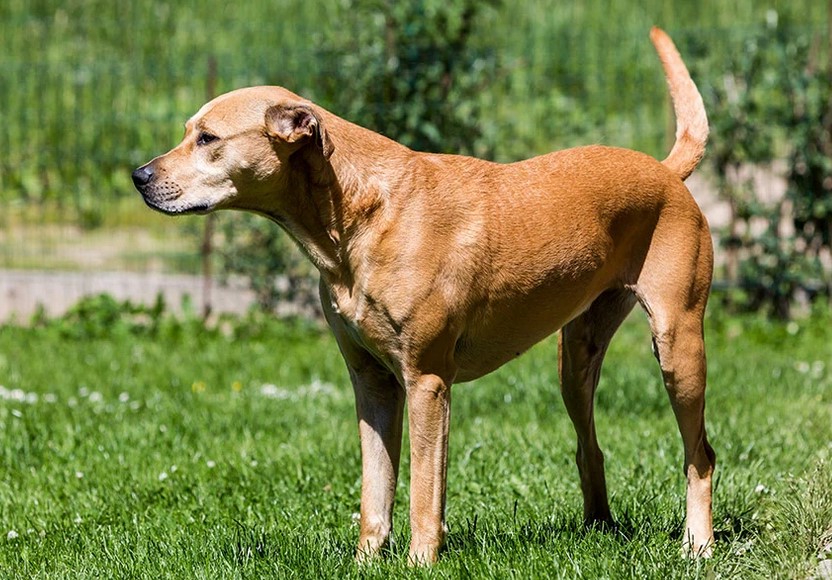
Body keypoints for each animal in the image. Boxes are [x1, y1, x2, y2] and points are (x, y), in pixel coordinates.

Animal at [132, 27, 716, 560]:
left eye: (208, 139)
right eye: (188, 131)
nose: (139, 175)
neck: (360, 213)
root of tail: (665, 172)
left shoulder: (427, 382)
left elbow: (422, 492)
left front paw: (420, 561)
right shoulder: (372, 383)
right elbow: (375, 490)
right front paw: (368, 560)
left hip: (678, 348)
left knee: (700, 454)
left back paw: (698, 545)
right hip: (575, 359)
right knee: (589, 448)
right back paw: (600, 530)